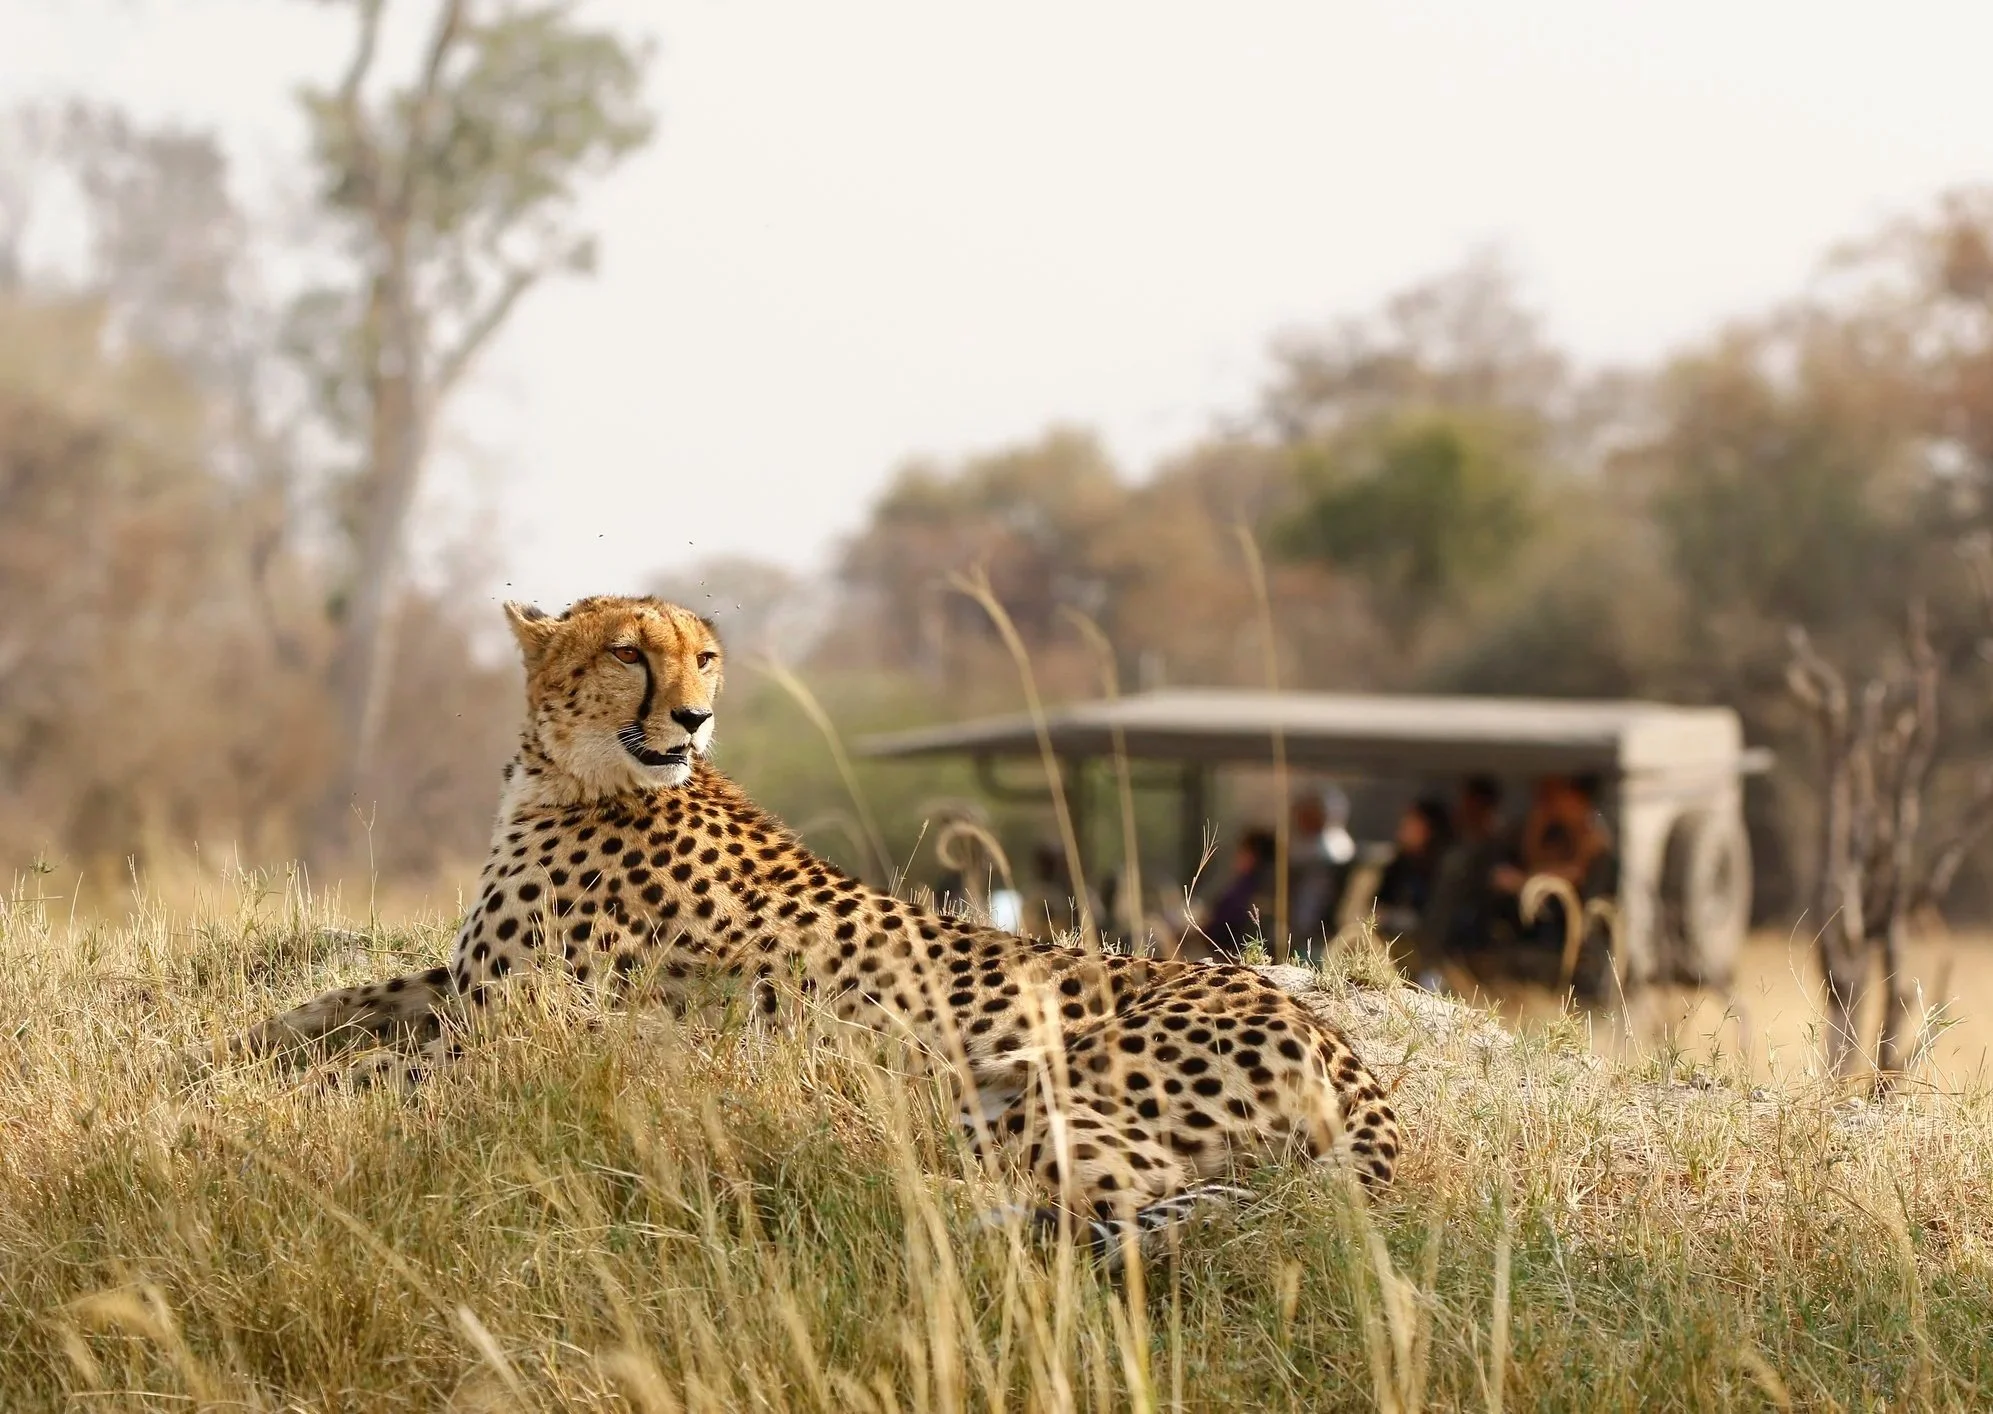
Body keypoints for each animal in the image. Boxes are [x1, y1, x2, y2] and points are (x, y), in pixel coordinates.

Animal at [209, 594, 1401, 1260]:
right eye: (631, 653)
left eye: (703, 657)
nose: (693, 716)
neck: (574, 773)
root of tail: (1339, 1044)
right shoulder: (468, 986)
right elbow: (340, 1002)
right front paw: (228, 1048)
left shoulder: (516, 1027)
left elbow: (375, 1072)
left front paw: (262, 1094)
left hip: (1016, 1083)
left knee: (1131, 1195)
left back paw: (888, 1198)